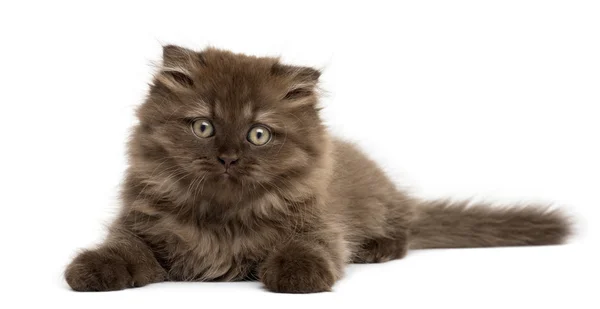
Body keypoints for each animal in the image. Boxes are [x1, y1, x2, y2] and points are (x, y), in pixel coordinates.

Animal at [65, 44, 572, 292]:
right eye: (204, 127)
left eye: (258, 134)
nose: (228, 157)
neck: (222, 220)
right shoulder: (140, 227)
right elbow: (123, 250)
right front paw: (90, 270)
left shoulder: (322, 227)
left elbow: (305, 248)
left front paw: (296, 276)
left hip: (381, 208)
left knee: (403, 232)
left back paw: (378, 248)